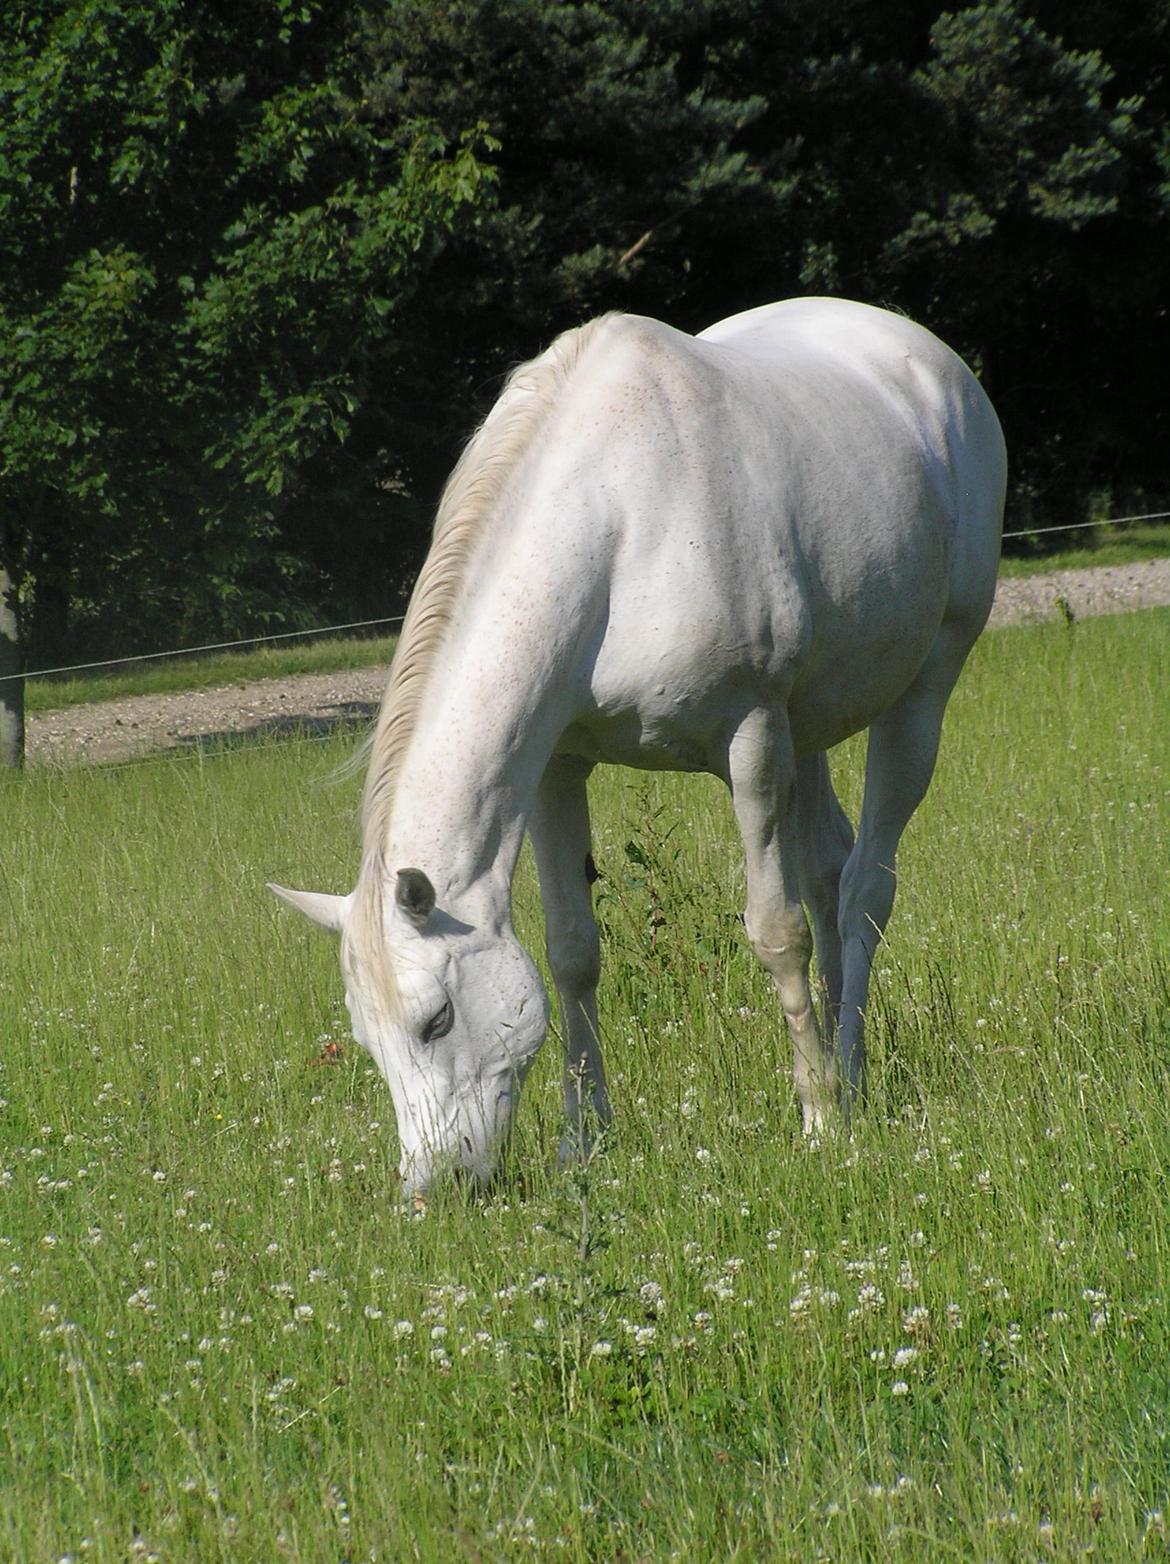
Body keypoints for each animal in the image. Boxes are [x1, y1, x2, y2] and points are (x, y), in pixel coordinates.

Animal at [272, 295, 1007, 1194]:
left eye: (436, 1020)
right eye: (369, 1041)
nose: (433, 1191)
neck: (618, 524)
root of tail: (928, 357)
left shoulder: (751, 740)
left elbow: (778, 932)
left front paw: (819, 1120)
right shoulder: (559, 767)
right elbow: (572, 953)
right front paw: (583, 1141)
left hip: (921, 688)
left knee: (865, 888)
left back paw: (850, 1076)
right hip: (811, 725)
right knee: (831, 871)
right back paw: (848, 1068)